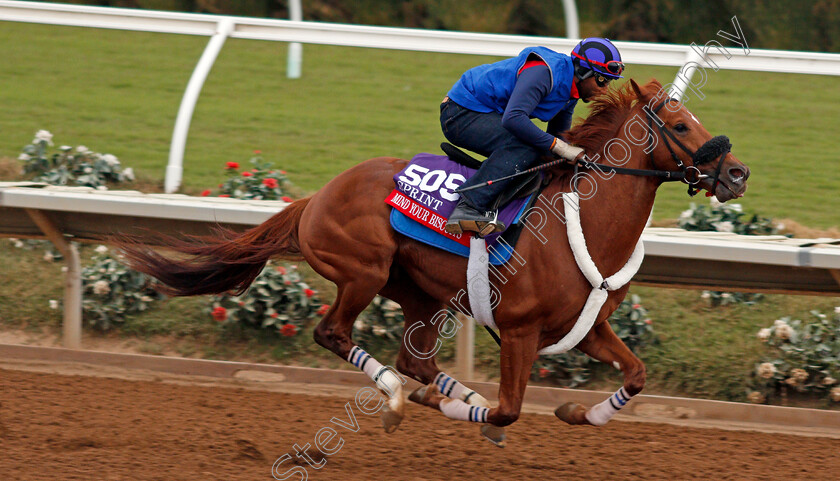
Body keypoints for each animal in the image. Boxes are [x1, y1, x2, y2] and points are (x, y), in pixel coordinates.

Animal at [116, 79, 748, 446]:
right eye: (681, 125)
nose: (737, 173)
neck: (585, 221)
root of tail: (315, 198)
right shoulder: (519, 330)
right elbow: (508, 412)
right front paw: (465, 410)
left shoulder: (588, 327)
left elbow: (636, 375)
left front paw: (577, 414)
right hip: (363, 271)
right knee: (336, 334)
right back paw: (399, 399)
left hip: (421, 294)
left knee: (414, 359)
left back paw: (441, 393)